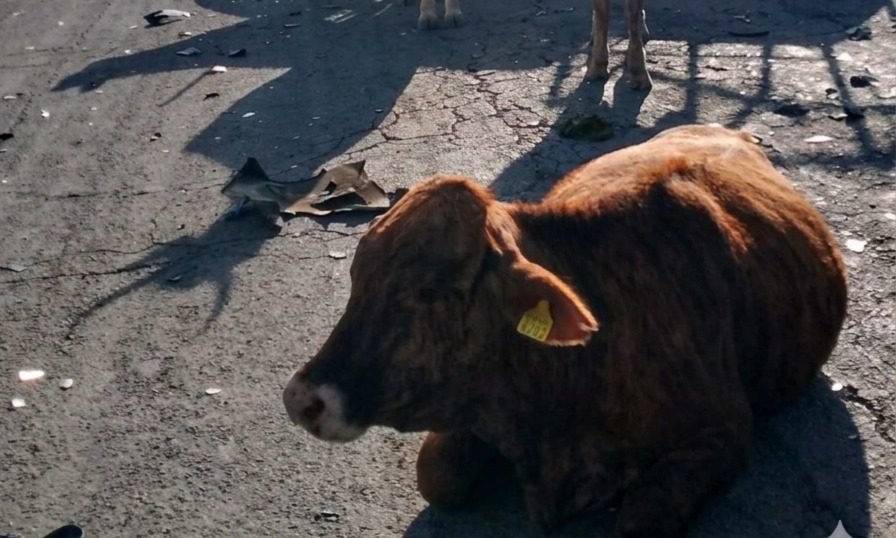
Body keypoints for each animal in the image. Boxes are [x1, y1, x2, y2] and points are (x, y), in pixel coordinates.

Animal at [283, 124, 848, 537]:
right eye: (356, 275)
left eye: (429, 292)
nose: (302, 399)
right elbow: (436, 476)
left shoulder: (723, 433)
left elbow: (638, 522)